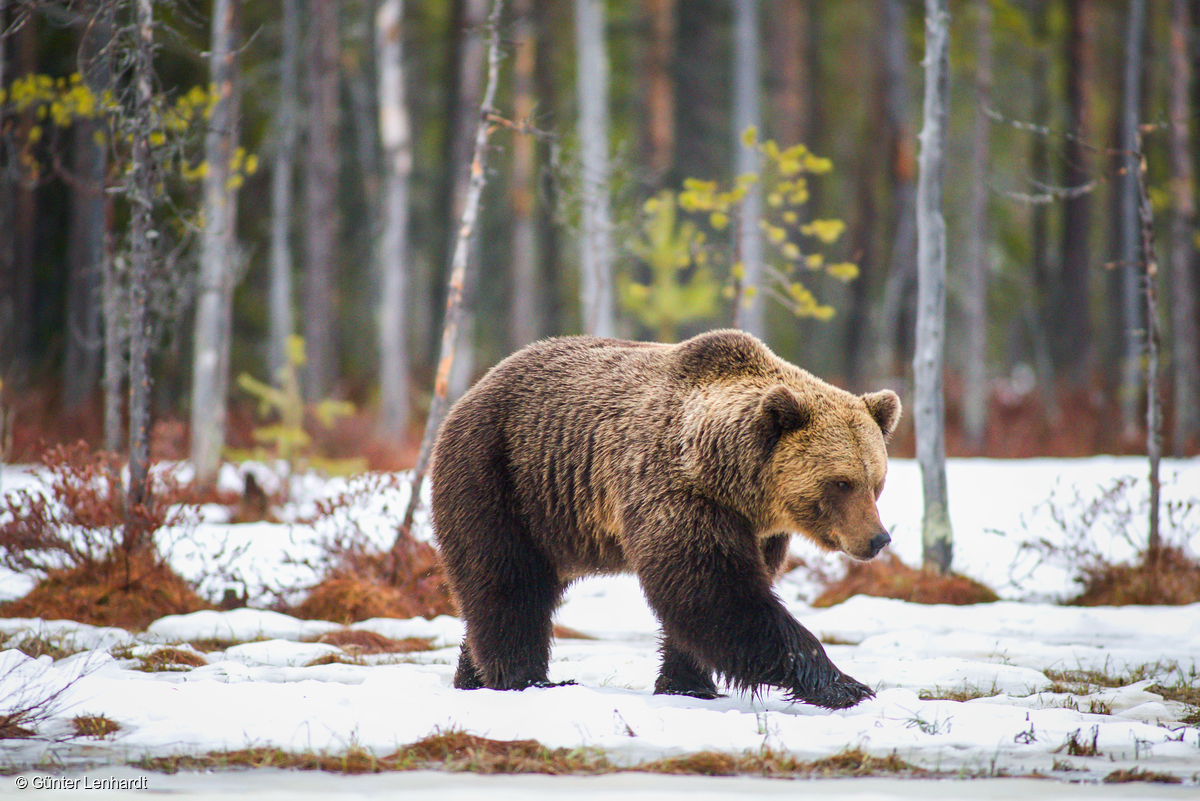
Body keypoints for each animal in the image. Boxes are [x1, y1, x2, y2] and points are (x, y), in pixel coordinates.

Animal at [432, 328, 902, 709]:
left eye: (876, 480)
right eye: (841, 482)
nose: (878, 538)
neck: (731, 480)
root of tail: (474, 387)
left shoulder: (757, 530)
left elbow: (712, 601)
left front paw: (686, 684)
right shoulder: (676, 493)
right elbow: (717, 595)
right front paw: (845, 685)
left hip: (552, 519)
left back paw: (470, 675)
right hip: (502, 476)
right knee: (507, 583)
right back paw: (525, 679)